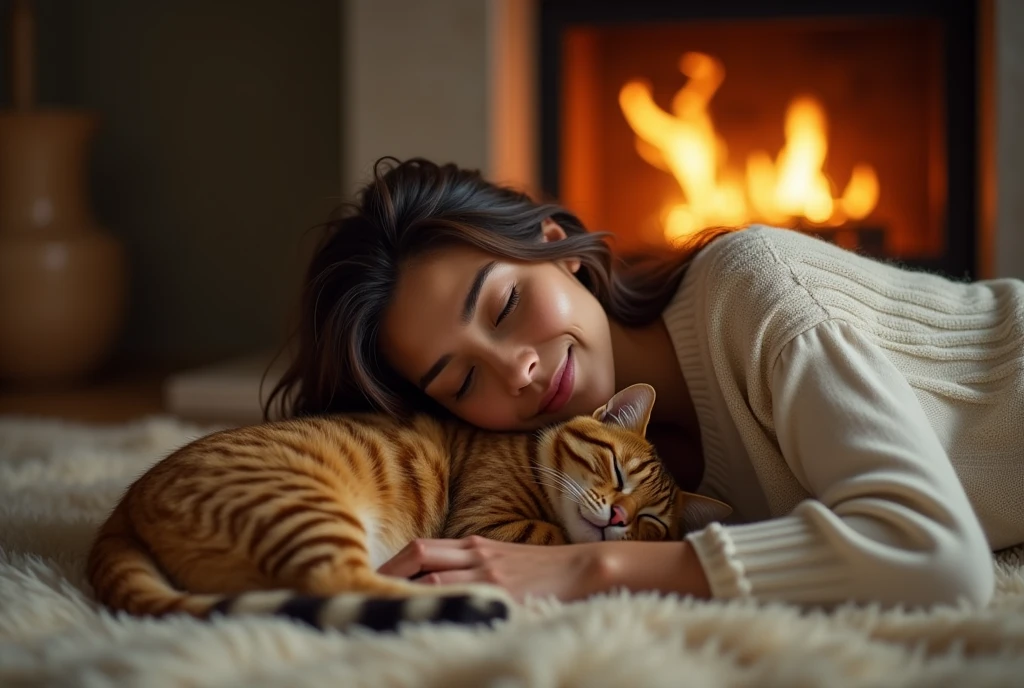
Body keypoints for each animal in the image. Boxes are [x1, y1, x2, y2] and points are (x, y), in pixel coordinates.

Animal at [86, 384, 729, 630]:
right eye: (616, 472)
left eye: (650, 523)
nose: (619, 518)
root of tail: (124, 509)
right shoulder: (483, 519)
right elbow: (551, 533)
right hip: (306, 511)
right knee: (336, 582)